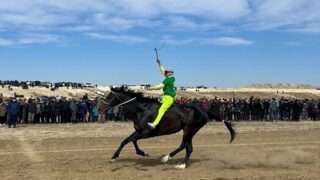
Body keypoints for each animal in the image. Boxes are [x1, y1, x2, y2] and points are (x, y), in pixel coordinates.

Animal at [105, 86, 235, 169]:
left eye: (110, 96)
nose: (102, 105)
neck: (142, 109)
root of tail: (204, 110)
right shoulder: (139, 131)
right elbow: (126, 140)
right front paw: (114, 157)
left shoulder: (147, 132)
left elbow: (132, 139)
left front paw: (142, 153)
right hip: (191, 130)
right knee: (189, 148)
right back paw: (182, 165)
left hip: (189, 129)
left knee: (183, 145)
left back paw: (167, 157)